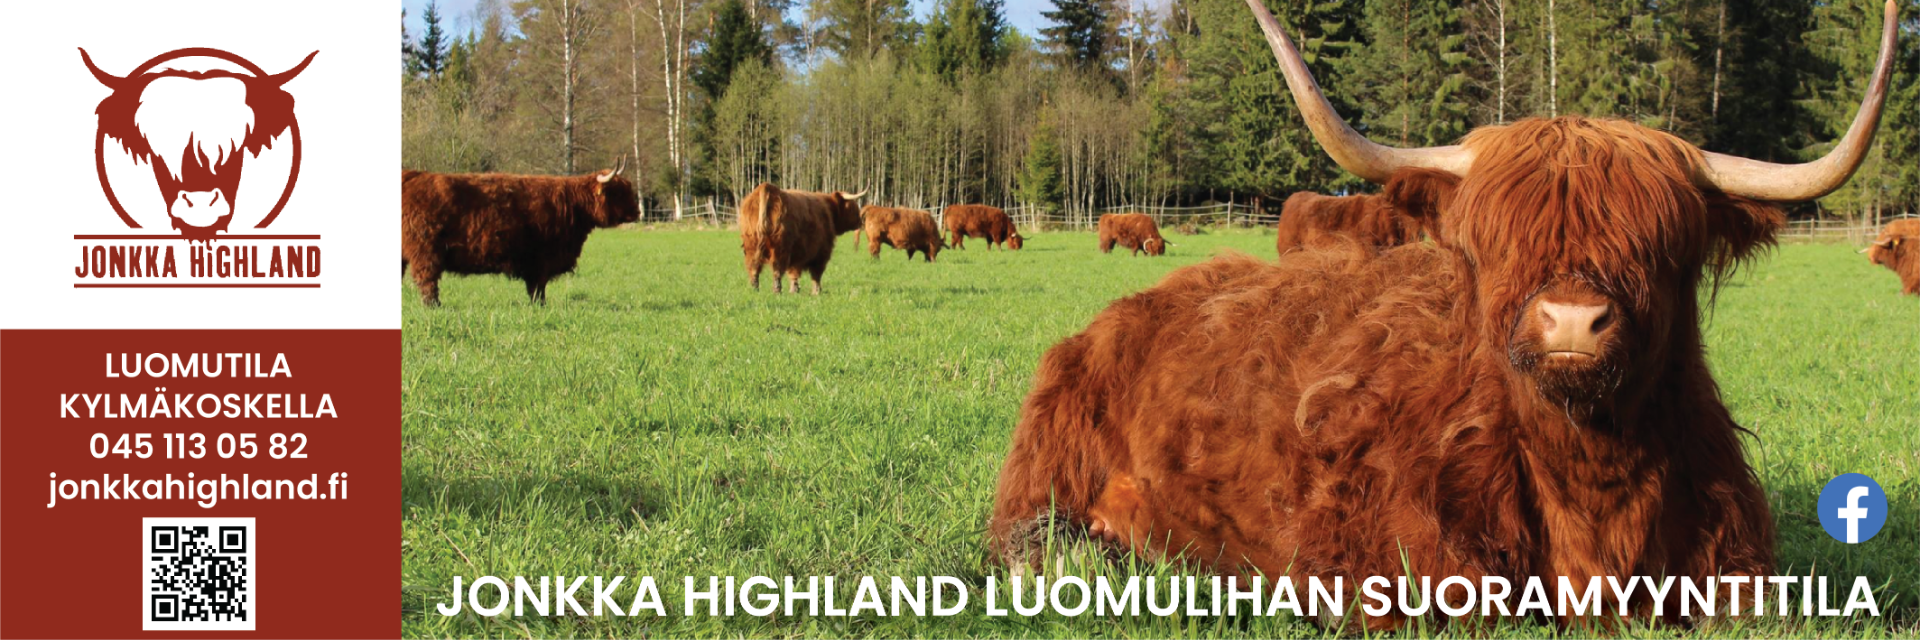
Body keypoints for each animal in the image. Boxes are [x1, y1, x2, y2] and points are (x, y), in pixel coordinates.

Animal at [400, 162, 641, 306]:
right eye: (619, 192)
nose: (637, 211)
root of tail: (411, 175)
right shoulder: (541, 259)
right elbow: (538, 286)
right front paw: (540, 306)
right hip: (426, 250)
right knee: (427, 279)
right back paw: (434, 306)